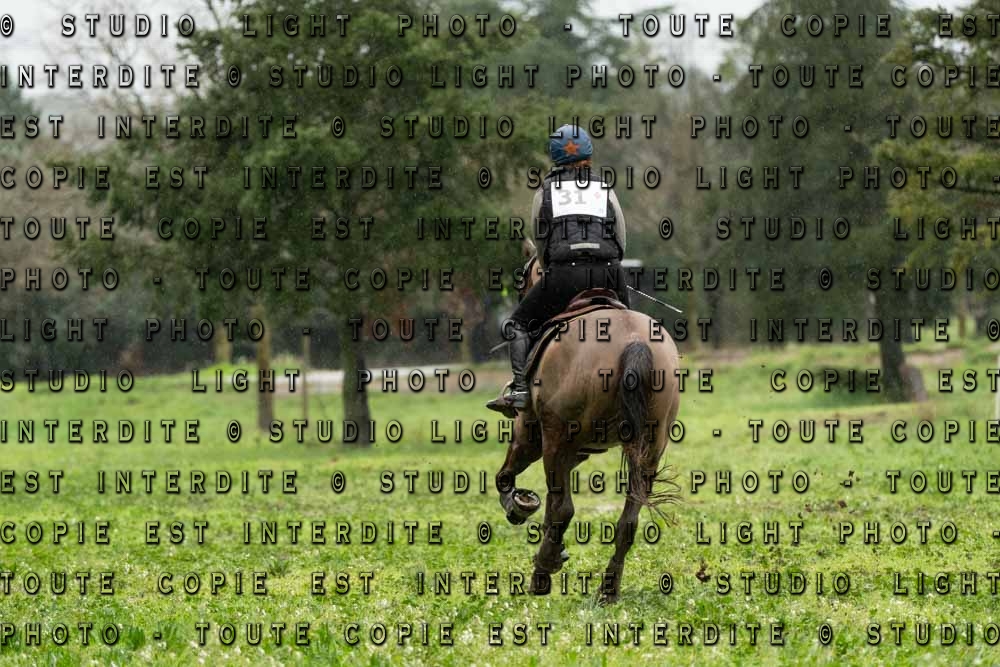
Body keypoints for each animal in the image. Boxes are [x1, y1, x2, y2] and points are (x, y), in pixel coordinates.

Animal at [494, 248, 682, 605]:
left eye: (525, 277)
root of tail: (634, 342)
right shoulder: (576, 451)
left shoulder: (535, 437)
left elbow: (508, 477)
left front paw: (518, 508)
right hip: (650, 448)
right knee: (628, 521)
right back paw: (607, 590)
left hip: (554, 440)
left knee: (564, 508)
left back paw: (542, 572)